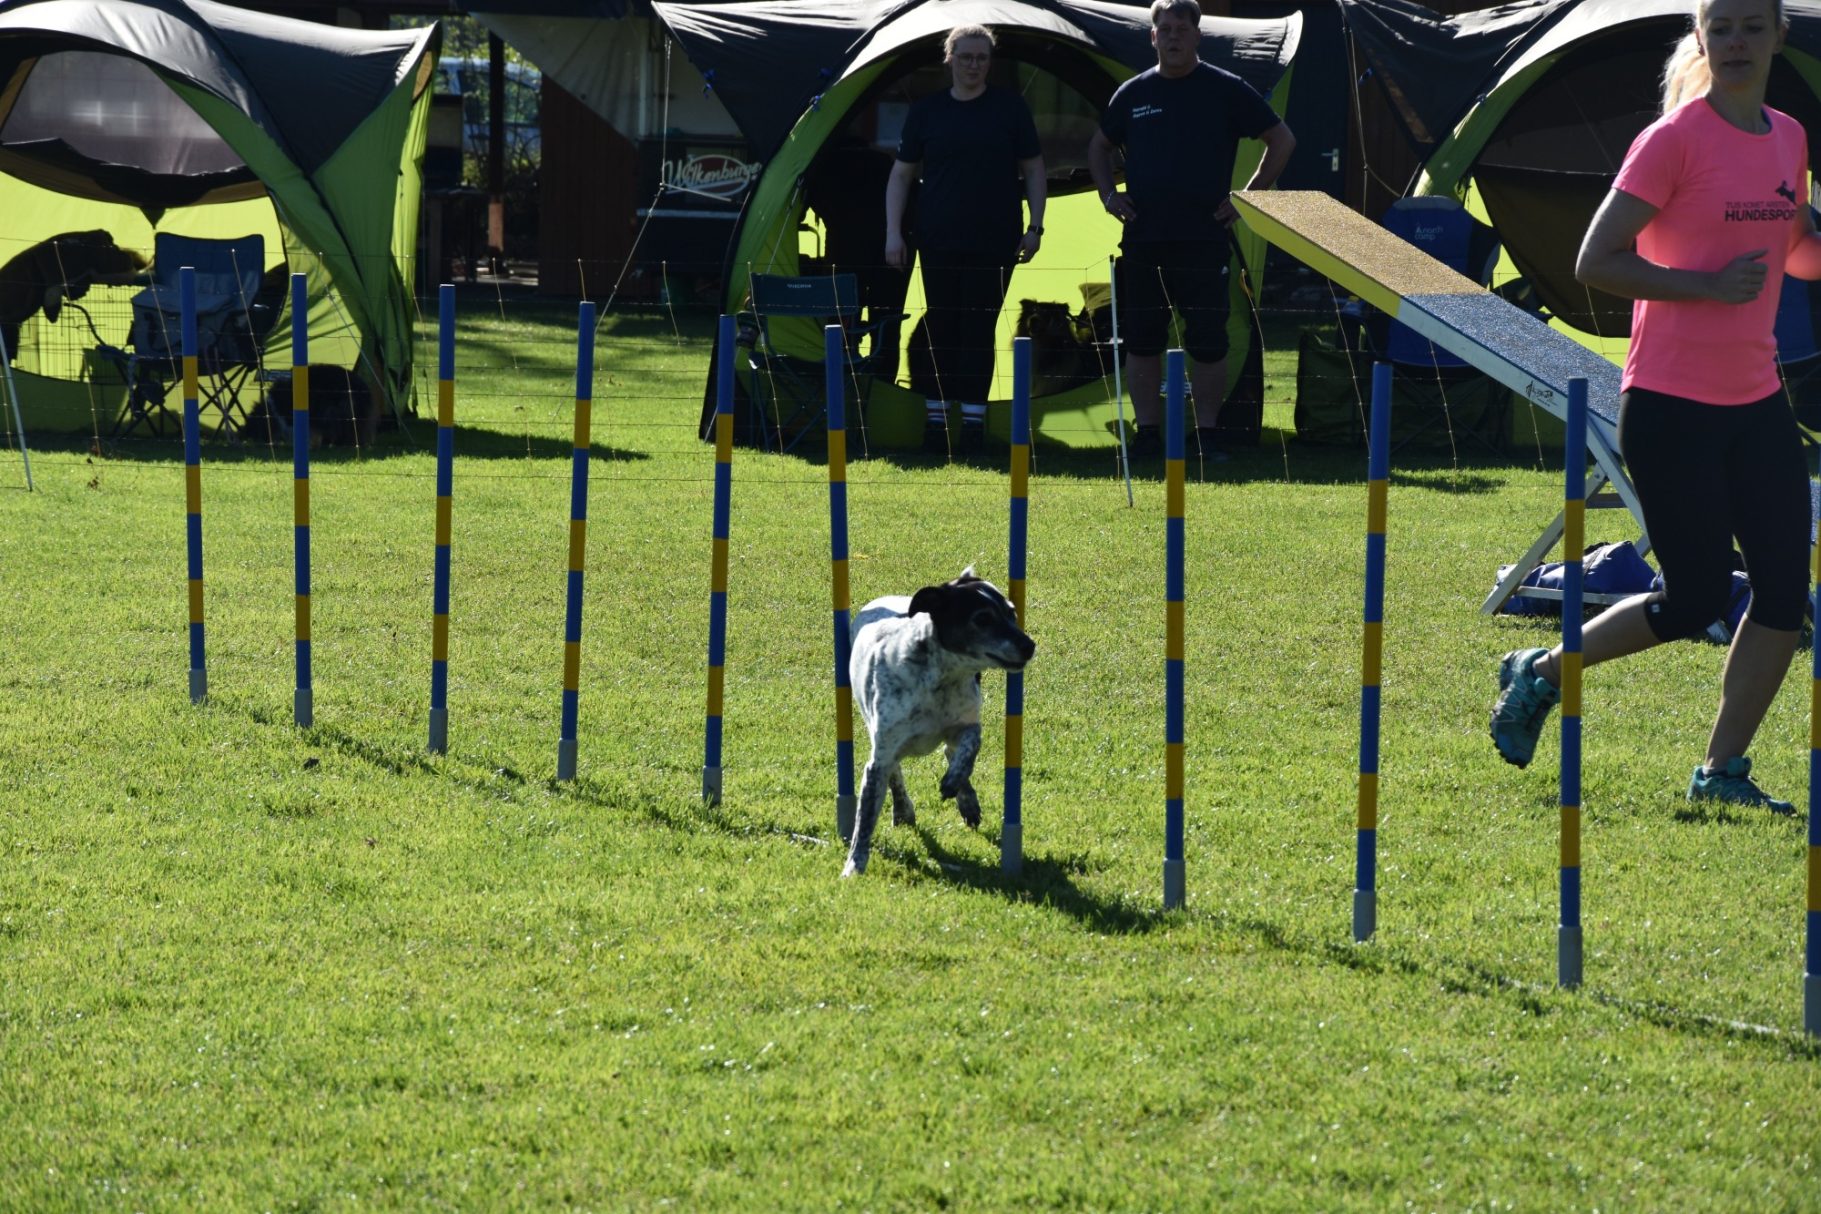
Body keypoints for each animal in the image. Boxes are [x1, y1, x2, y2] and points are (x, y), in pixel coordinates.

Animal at [842, 568, 1036, 877]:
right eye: (982, 618)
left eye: (1012, 613)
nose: (1029, 646)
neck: (942, 679)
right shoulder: (880, 757)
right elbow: (865, 820)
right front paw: (853, 868)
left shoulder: (967, 722)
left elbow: (970, 745)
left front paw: (954, 782)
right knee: (897, 774)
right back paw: (903, 810)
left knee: (950, 750)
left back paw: (966, 800)